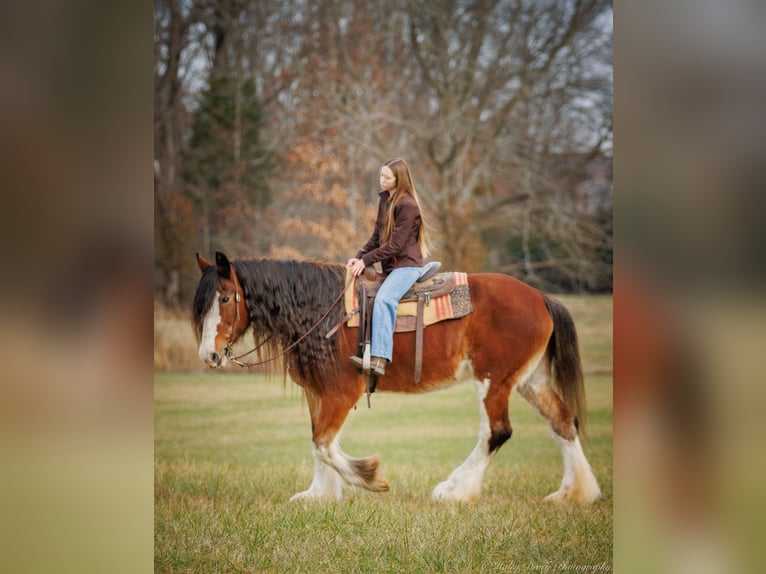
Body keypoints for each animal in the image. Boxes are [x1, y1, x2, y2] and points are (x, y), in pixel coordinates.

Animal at [192, 252, 600, 504]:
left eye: (225, 298)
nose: (208, 355)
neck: (321, 313)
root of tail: (541, 297)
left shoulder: (341, 391)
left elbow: (323, 442)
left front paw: (367, 475)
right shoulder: (317, 392)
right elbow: (317, 442)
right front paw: (319, 494)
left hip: (493, 380)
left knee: (496, 432)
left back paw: (456, 490)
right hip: (531, 381)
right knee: (563, 422)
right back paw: (575, 493)